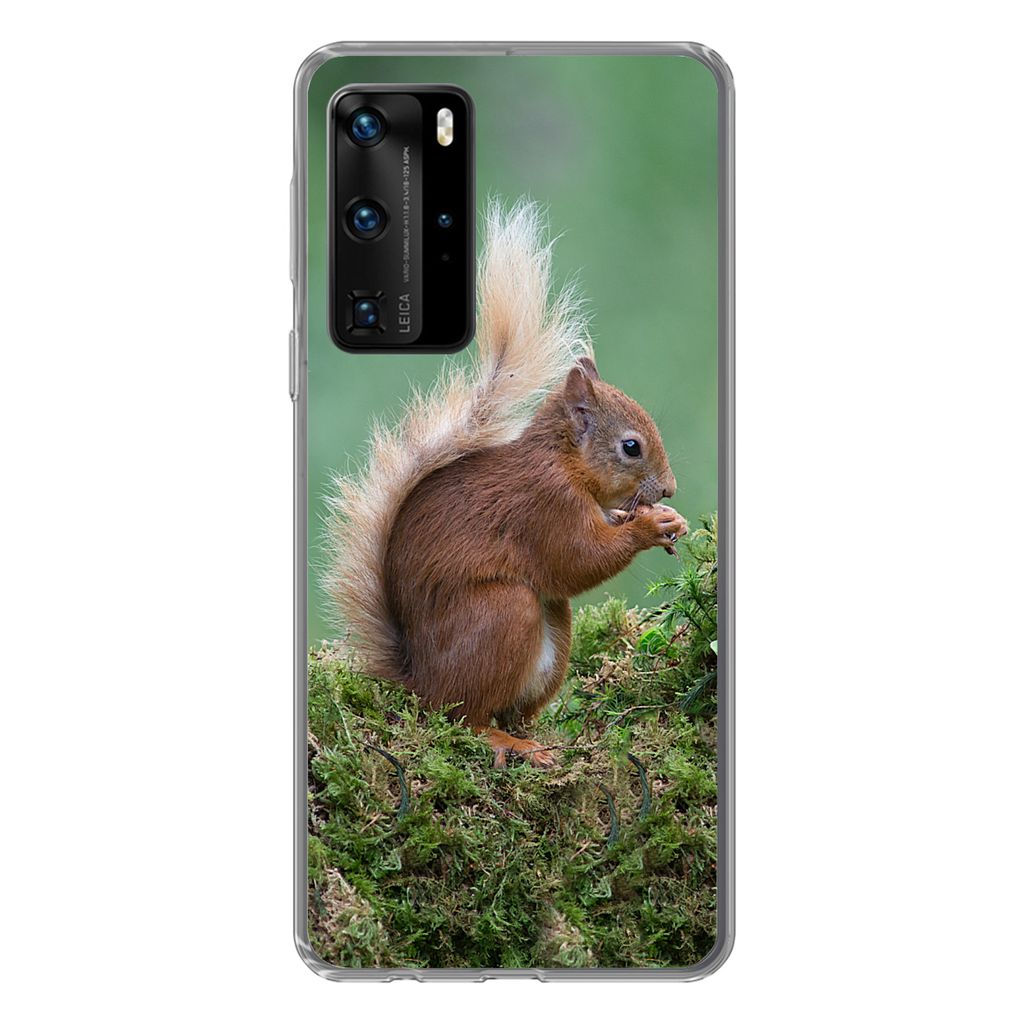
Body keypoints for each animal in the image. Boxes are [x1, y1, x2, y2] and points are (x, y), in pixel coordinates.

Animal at [325, 202, 686, 767]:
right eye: (631, 447)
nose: (668, 489)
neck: (563, 462)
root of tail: (419, 682)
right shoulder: (544, 505)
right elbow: (578, 559)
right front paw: (648, 527)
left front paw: (665, 520)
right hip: (502, 614)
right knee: (465, 717)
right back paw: (506, 743)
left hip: (553, 636)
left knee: (511, 707)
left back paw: (537, 738)